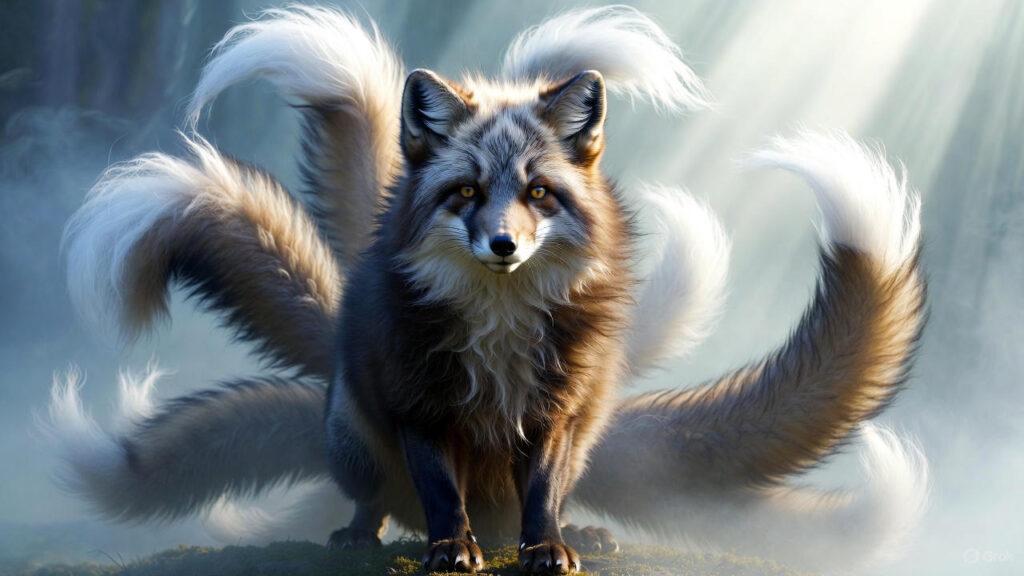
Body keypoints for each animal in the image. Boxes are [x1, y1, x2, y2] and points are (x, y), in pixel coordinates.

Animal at [45, 6, 928, 575]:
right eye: (465, 192)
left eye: (539, 194)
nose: (503, 244)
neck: (500, 338)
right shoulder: (420, 408)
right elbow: (442, 497)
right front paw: (452, 551)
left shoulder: (560, 411)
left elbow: (542, 497)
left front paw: (550, 550)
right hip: (351, 433)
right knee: (374, 499)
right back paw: (360, 534)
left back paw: (584, 533)